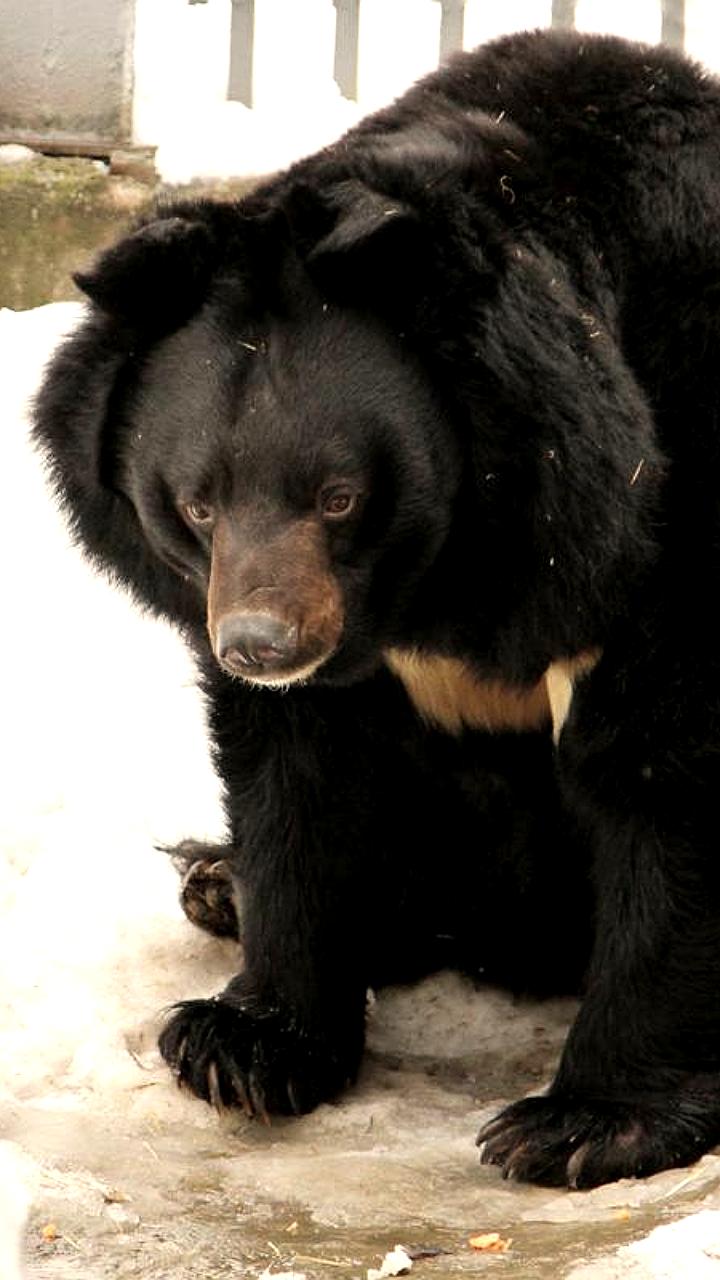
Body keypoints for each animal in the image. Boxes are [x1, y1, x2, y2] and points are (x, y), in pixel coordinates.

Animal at [32, 30, 720, 1187]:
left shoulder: (659, 517)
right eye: (197, 500)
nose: (258, 644)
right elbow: (298, 771)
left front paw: (578, 1123)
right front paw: (244, 1043)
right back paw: (217, 882)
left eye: (339, 496)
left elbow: (664, 765)